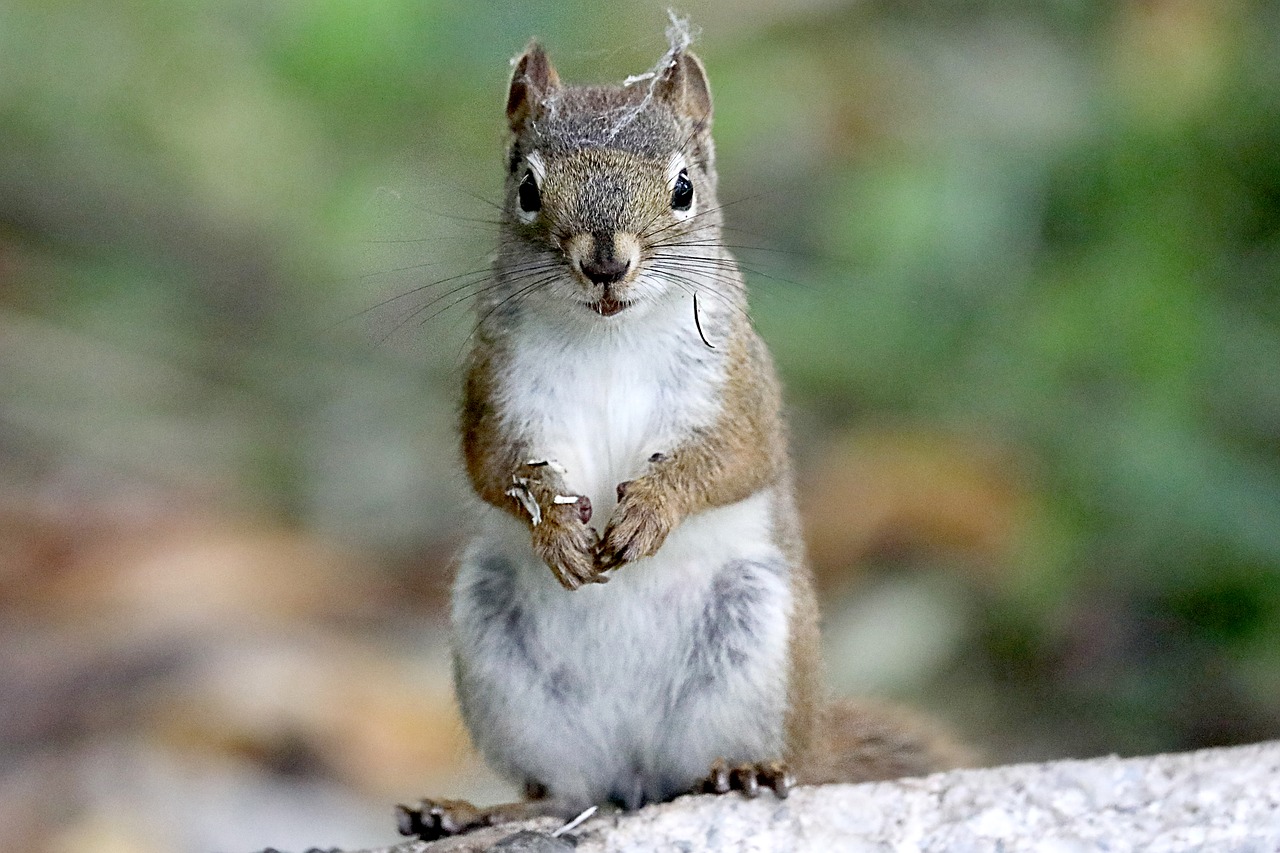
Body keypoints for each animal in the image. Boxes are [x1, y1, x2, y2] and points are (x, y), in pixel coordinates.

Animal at [396, 31, 967, 835]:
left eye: (684, 188)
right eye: (528, 189)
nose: (606, 262)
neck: (608, 335)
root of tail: (636, 774)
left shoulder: (741, 390)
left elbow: (736, 459)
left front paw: (650, 509)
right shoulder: (495, 388)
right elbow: (492, 465)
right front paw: (555, 527)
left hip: (753, 642)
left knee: (735, 763)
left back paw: (741, 773)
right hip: (501, 654)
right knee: (560, 793)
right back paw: (469, 812)